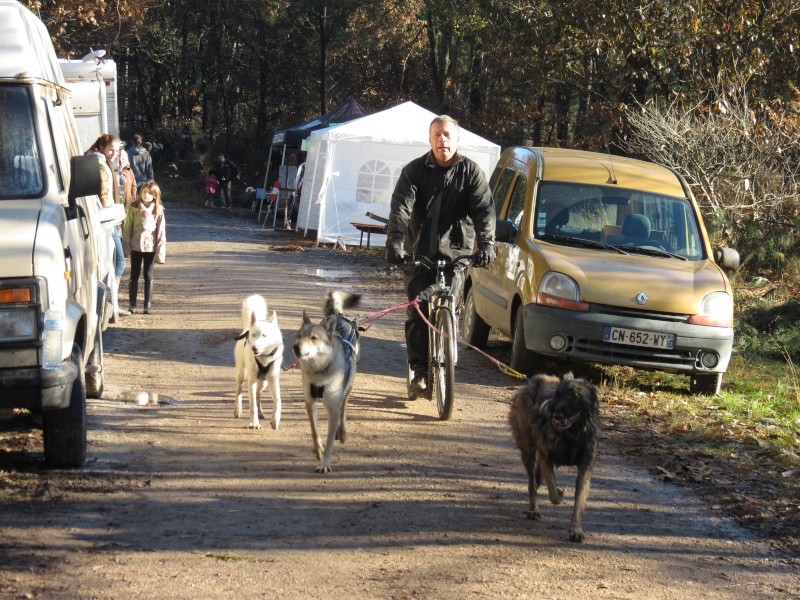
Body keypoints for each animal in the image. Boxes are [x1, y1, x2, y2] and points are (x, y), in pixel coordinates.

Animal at [512, 372, 600, 540]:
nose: (557, 416)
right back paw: (534, 509)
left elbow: (579, 501)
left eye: (574, 395)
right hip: (529, 451)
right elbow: (553, 492)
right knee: (532, 483)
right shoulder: (546, 458)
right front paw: (559, 492)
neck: (573, 434)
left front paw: (576, 530)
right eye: (557, 396)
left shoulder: (585, 468)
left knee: (537, 479)